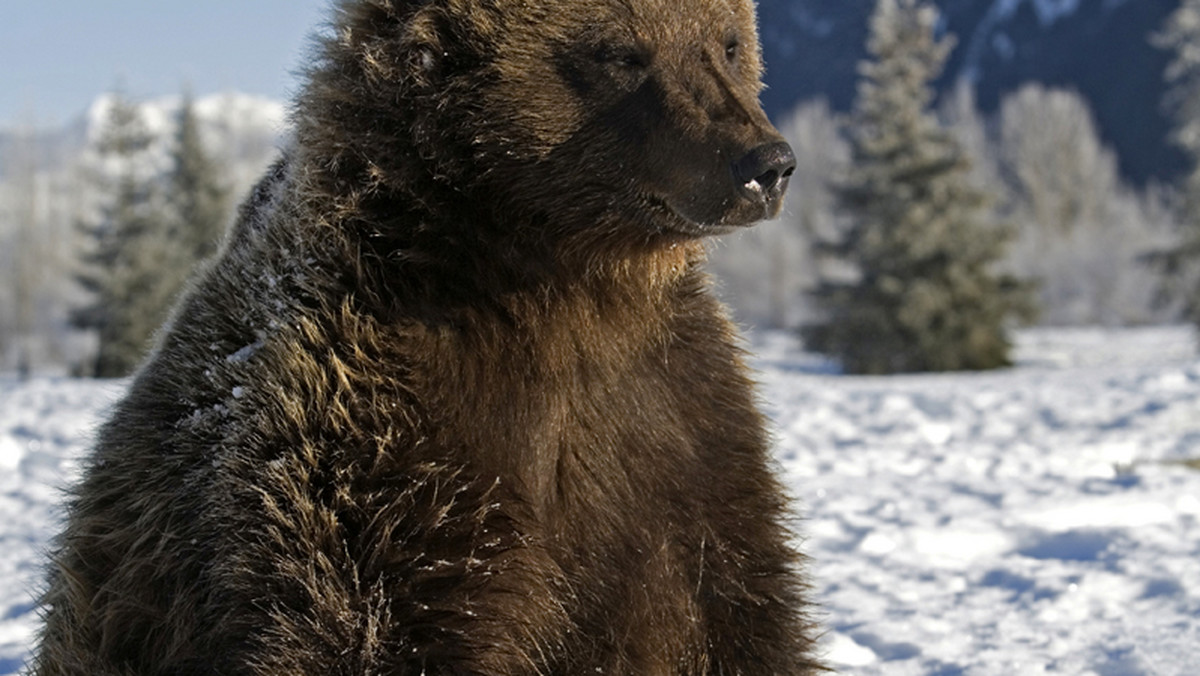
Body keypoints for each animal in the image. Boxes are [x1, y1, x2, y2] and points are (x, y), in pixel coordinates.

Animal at [30, 0, 825, 672]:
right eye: (619, 51)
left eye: (727, 41)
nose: (764, 164)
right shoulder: (368, 440)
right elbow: (376, 621)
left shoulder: (679, 426)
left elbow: (740, 605)